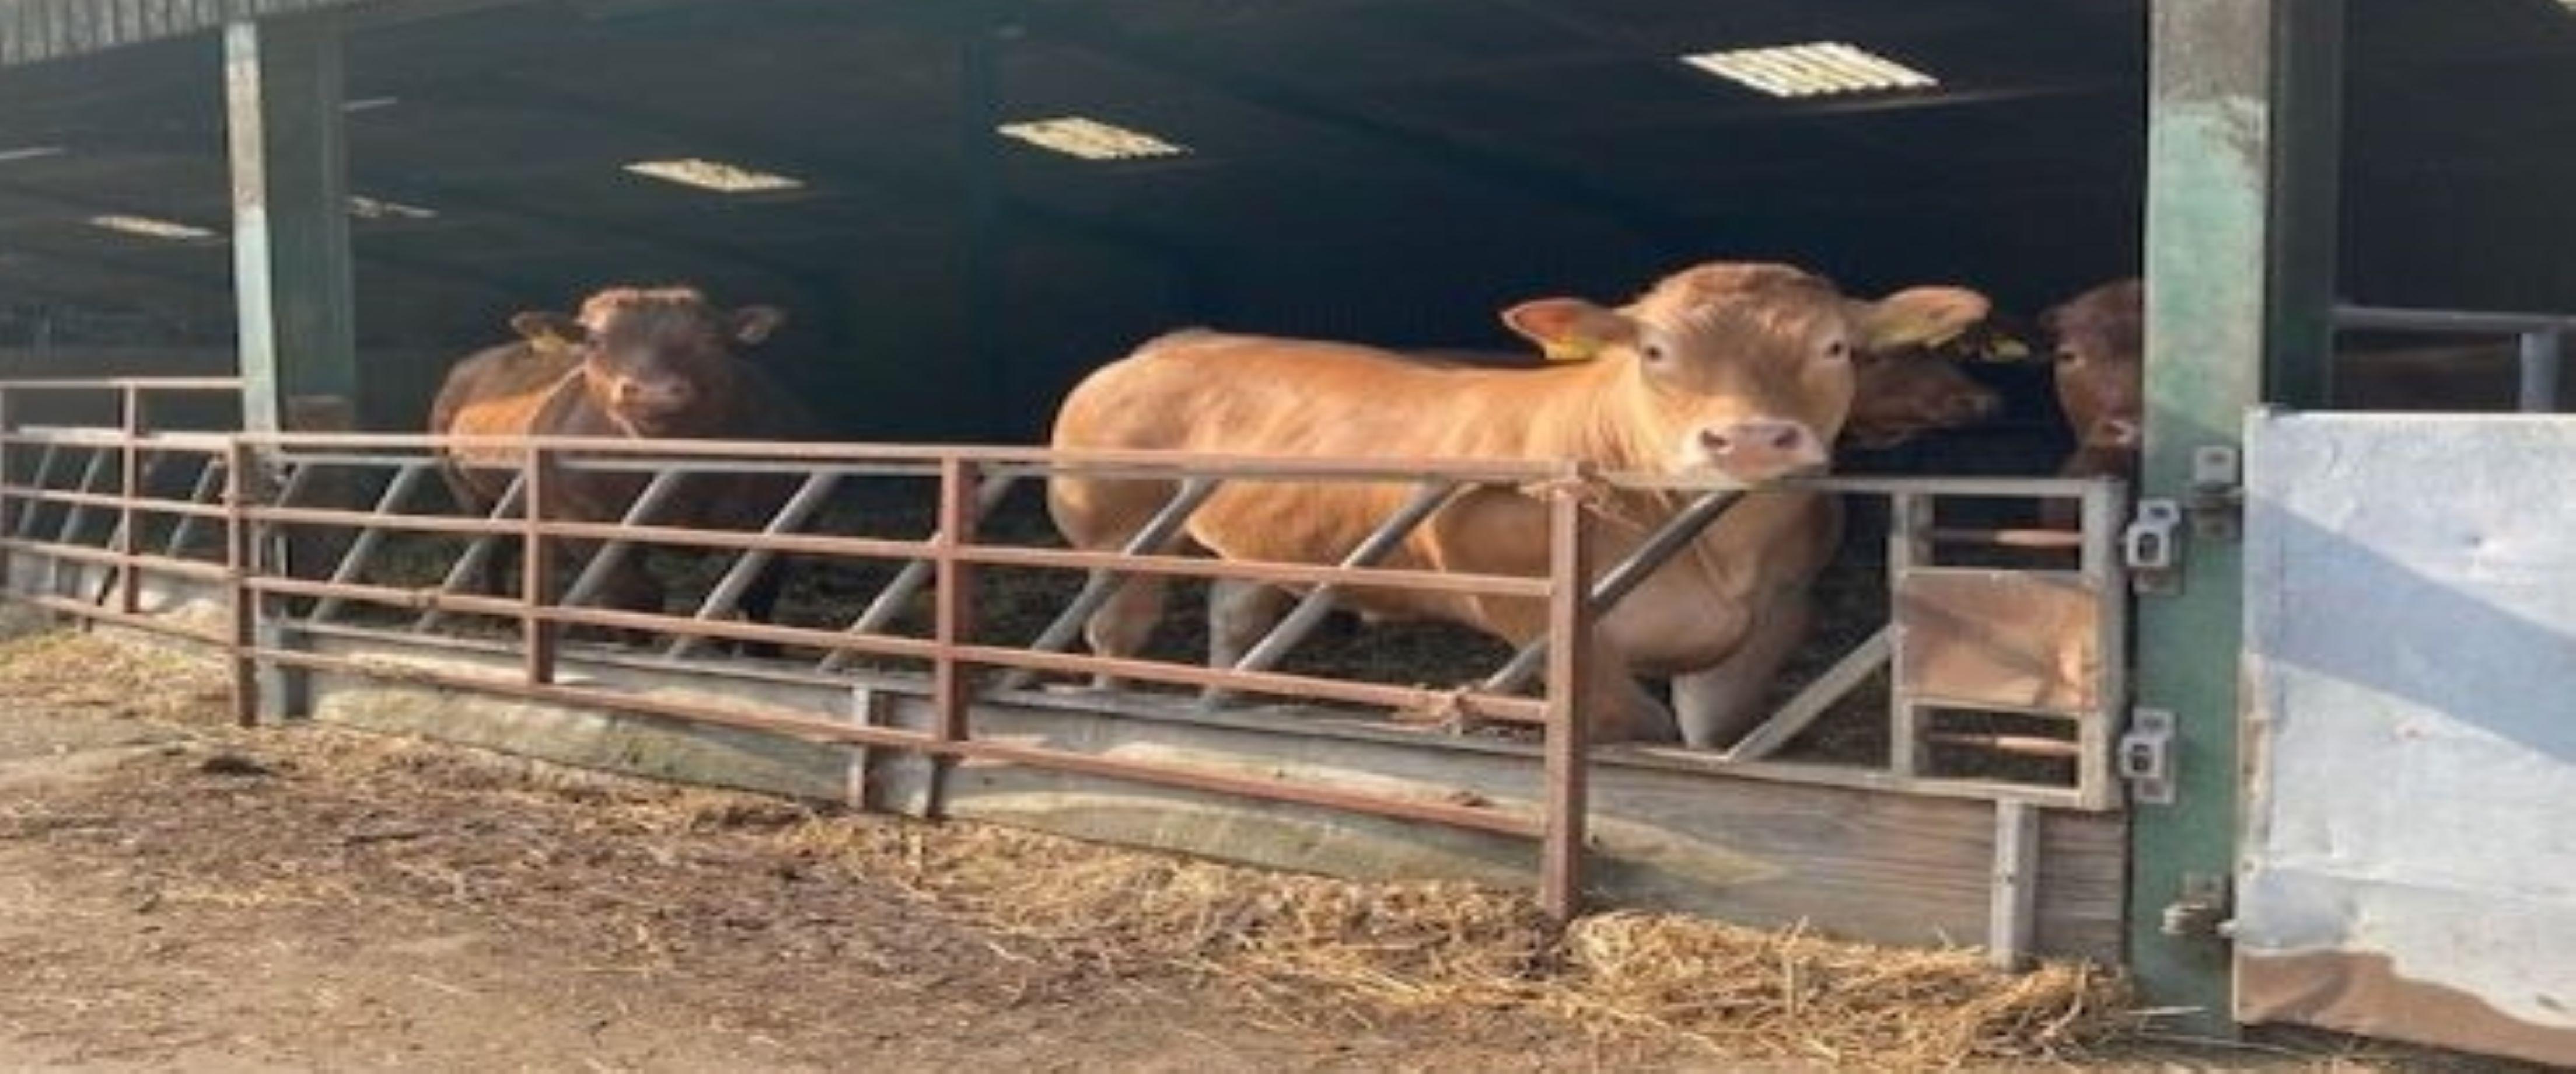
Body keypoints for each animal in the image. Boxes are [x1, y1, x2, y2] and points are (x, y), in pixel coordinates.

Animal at [432, 282, 809, 644]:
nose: (653, 392)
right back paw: (500, 617)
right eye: (595, 341)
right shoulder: (582, 517)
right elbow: (634, 595)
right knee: (489, 549)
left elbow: (754, 601)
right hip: (467, 488)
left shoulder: (770, 522)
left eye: (710, 340)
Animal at [1046, 261, 1988, 747]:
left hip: (1251, 543)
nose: (1751, 439)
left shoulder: (1775, 620)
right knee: (1114, 628)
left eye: (1836, 348)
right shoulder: (1532, 614)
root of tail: (1171, 343)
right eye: (1654, 351)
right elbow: (1633, 722)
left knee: (1234, 617)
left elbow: (1710, 735)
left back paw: (1229, 696)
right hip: (1113, 532)